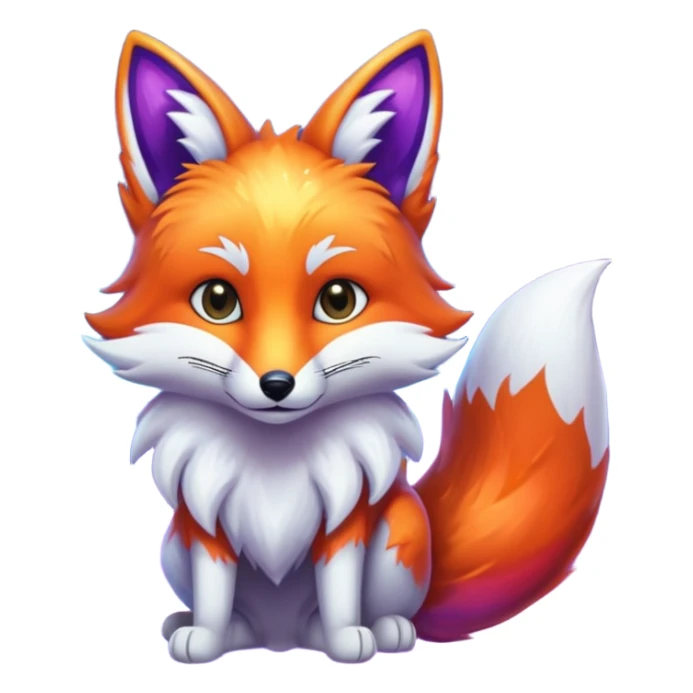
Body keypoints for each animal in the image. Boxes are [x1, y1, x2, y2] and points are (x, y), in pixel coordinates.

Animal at [84, 30, 610, 664]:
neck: (275, 461)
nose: (277, 384)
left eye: (338, 300)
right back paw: (223, 633)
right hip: (172, 548)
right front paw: (205, 639)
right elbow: (214, 594)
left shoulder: (348, 521)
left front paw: (346, 642)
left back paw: (380, 631)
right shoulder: (203, 522)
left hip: (399, 532)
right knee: (237, 619)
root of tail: (279, 641)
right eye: (217, 300)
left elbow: (339, 595)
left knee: (371, 611)